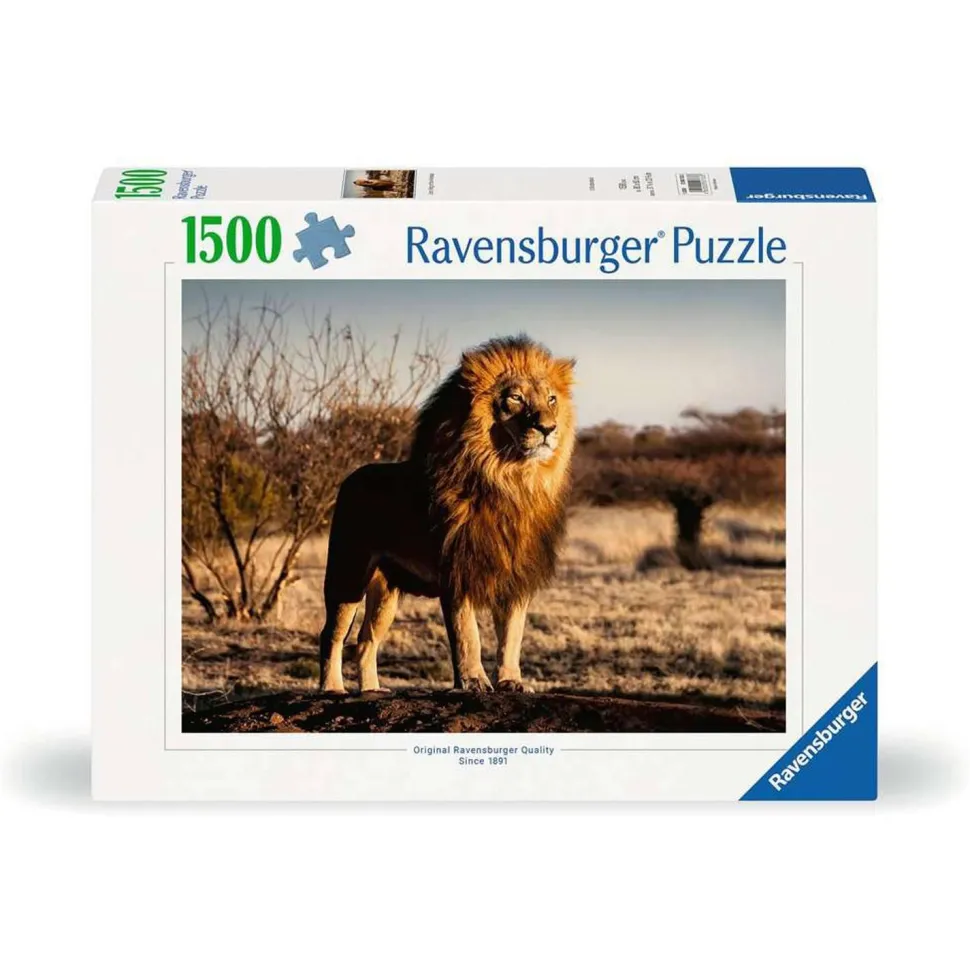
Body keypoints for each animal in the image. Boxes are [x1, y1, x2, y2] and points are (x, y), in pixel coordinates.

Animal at [319, 334, 576, 694]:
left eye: (552, 399)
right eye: (515, 398)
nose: (548, 428)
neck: (511, 482)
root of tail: (351, 477)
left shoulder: (516, 575)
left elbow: (512, 636)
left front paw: (511, 681)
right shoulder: (457, 571)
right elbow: (468, 635)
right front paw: (473, 681)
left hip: (386, 591)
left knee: (366, 641)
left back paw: (371, 690)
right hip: (348, 573)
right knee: (332, 634)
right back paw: (332, 688)